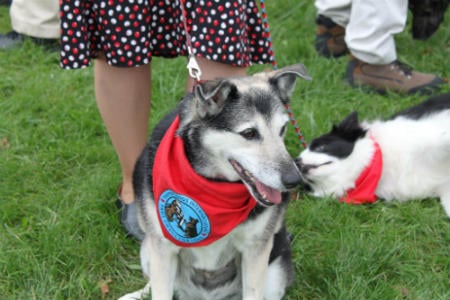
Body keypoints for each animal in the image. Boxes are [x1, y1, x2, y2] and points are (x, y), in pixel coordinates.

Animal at [122, 63, 312, 300]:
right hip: (148, 248)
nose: (294, 179)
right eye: (249, 133)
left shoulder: (256, 250)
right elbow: (160, 291)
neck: (213, 185)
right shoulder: (163, 247)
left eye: (283, 129)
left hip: (274, 273)